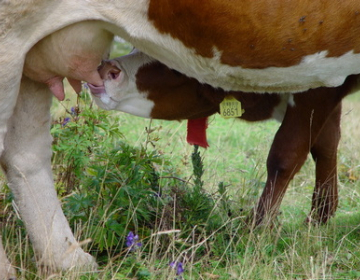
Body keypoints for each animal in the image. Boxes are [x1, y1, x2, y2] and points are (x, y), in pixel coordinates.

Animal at [88, 50, 360, 228]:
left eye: (175, 65)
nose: (106, 68)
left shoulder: (319, 86)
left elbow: (286, 155)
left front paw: (258, 228)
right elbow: (325, 144)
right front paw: (320, 215)